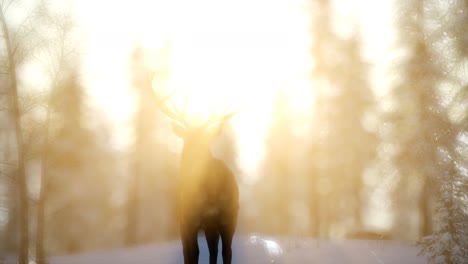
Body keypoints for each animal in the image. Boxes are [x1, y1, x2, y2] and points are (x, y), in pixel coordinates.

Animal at [152, 89, 239, 264]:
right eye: (187, 140)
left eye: (206, 141)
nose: (194, 159)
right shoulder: (188, 218)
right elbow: (191, 253)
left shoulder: (188, 219)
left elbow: (191, 253)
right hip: (211, 224)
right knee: (215, 251)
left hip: (230, 216)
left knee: (225, 251)